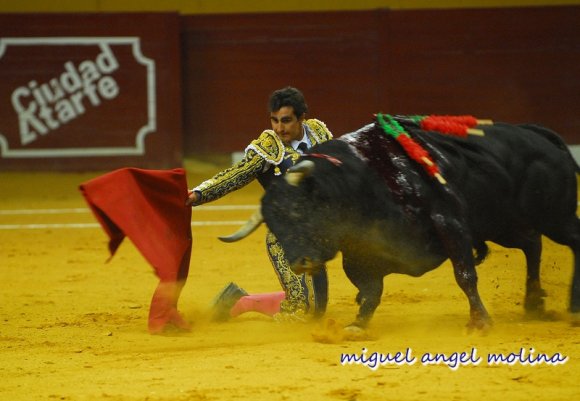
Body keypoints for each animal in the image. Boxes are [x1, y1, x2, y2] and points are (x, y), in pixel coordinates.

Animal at [220, 121, 576, 328]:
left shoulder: (450, 223)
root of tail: (542, 135)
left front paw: (480, 321)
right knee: (532, 244)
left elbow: (464, 275)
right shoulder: (360, 252)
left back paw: (572, 307)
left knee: (571, 240)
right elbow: (370, 289)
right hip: (504, 223)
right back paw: (534, 304)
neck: (358, 183)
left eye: (299, 210)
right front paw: (358, 324)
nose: (301, 263)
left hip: (553, 215)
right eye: (275, 226)